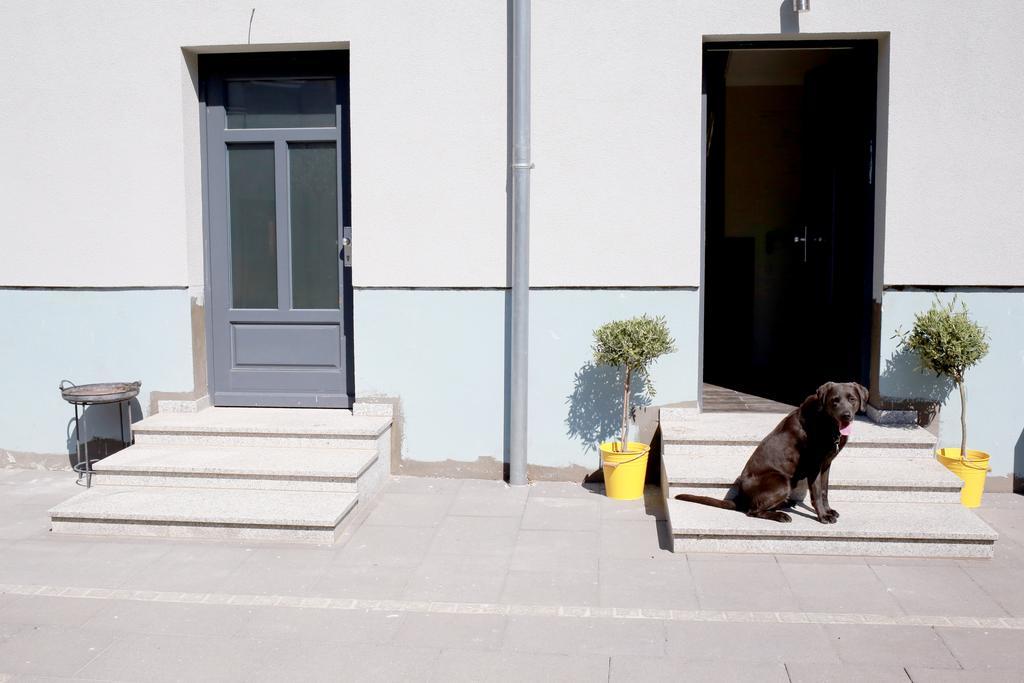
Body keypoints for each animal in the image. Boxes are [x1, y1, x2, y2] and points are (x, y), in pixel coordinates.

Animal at [675, 382, 868, 528]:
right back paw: (781, 515)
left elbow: (824, 491)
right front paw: (823, 516)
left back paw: (785, 505)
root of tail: (740, 497)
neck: (828, 424)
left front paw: (829, 511)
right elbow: (816, 493)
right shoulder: (814, 465)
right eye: (835, 401)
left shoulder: (826, 463)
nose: (846, 415)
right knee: (753, 511)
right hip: (781, 481)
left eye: (852, 399)